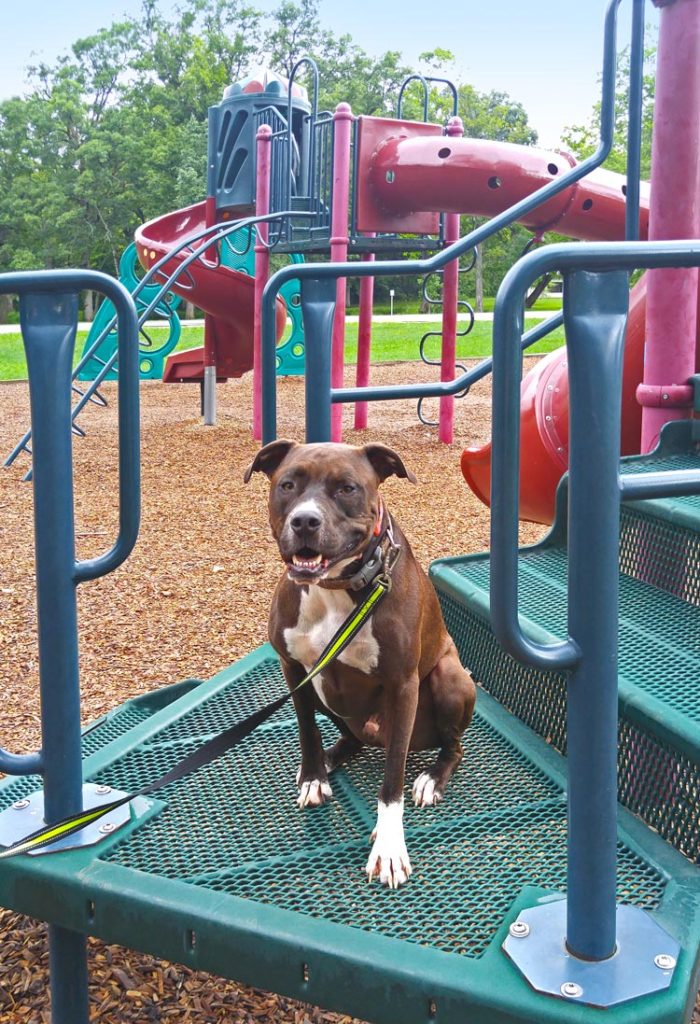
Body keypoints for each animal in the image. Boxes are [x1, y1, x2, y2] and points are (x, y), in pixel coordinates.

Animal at [244, 440, 474, 888]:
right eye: (288, 484)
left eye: (347, 488)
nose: (305, 520)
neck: (336, 587)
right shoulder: (293, 670)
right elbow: (307, 731)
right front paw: (312, 776)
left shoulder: (403, 686)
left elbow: (392, 778)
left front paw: (389, 847)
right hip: (325, 693)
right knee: (348, 737)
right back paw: (330, 758)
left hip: (451, 679)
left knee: (452, 746)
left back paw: (432, 778)